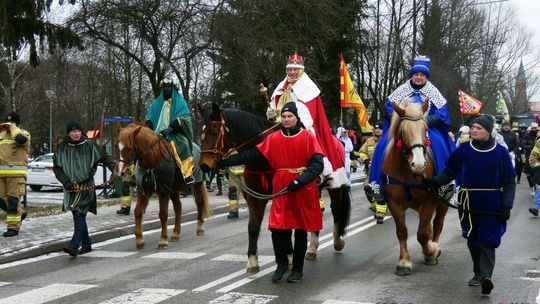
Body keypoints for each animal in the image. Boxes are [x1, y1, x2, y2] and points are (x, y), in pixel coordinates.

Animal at [198, 104, 350, 276]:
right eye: (201, 133)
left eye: (214, 131)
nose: (204, 165)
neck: (262, 158)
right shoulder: (256, 198)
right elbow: (253, 228)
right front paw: (253, 262)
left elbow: (286, 226)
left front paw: (289, 259)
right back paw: (312, 248)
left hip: (335, 187)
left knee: (336, 211)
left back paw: (337, 241)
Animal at [382, 97, 450, 276]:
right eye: (403, 131)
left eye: (425, 129)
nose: (419, 165)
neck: (408, 173)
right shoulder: (394, 203)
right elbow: (402, 232)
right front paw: (404, 262)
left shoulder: (429, 202)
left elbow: (422, 234)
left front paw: (431, 252)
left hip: (442, 203)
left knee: (437, 224)